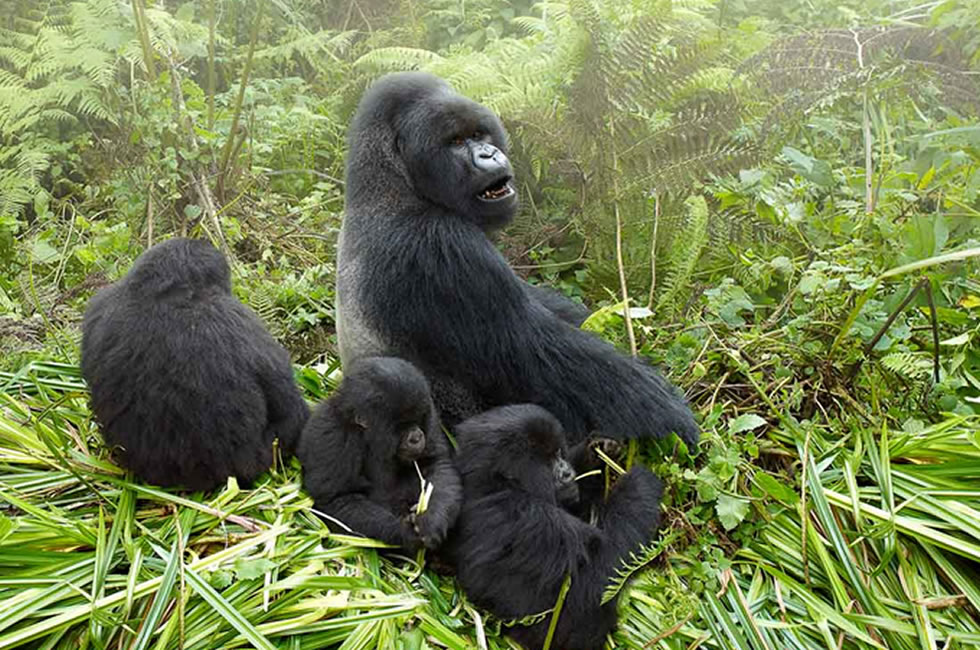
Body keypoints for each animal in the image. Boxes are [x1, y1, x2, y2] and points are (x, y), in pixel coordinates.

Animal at [298, 356, 464, 548]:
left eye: (417, 418)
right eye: (401, 426)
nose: (417, 437)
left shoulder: (430, 414)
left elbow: (435, 463)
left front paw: (433, 518)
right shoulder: (330, 434)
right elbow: (338, 499)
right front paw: (403, 531)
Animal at [336, 71, 696, 446]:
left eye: (478, 134)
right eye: (455, 141)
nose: (489, 154)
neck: (393, 187)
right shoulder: (438, 246)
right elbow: (543, 354)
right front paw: (668, 412)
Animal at [448, 404, 664, 648]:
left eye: (559, 454)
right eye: (549, 462)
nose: (567, 472)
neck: (495, 484)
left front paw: (596, 453)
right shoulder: (532, 522)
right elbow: (586, 593)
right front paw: (638, 486)